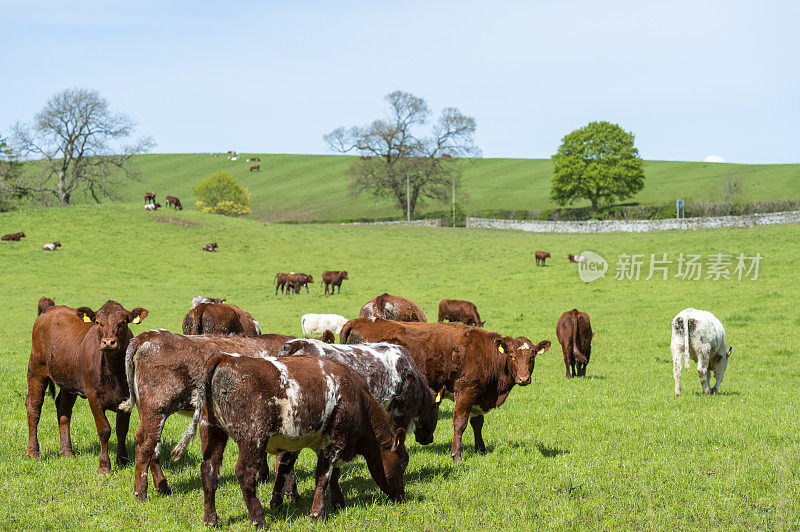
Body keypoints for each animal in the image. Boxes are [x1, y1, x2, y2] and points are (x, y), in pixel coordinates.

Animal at [25, 302, 148, 476]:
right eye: (97, 322)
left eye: (123, 322)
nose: (108, 342)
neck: (114, 372)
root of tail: (51, 310)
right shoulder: (93, 396)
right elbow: (104, 430)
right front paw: (104, 466)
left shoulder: (127, 398)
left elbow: (122, 429)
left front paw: (123, 461)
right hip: (36, 370)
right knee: (34, 408)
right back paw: (33, 452)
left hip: (68, 380)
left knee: (63, 410)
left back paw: (67, 452)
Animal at [120, 330, 292, 500]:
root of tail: (145, 336)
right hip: (156, 409)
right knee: (144, 444)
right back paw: (141, 492)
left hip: (147, 411)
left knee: (154, 447)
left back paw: (162, 487)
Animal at [177, 354, 410, 528]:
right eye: (402, 463)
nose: (401, 495)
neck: (358, 398)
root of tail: (225, 358)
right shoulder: (334, 441)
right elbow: (323, 477)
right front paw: (317, 513)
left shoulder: (295, 444)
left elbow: (287, 472)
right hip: (252, 439)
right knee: (245, 474)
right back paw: (260, 521)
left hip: (212, 430)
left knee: (209, 469)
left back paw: (211, 519)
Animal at [338, 320, 552, 462]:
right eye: (512, 356)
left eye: (532, 356)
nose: (523, 378)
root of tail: (361, 321)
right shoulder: (466, 389)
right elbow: (460, 423)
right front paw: (456, 454)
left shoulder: (478, 395)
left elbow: (477, 423)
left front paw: (480, 449)